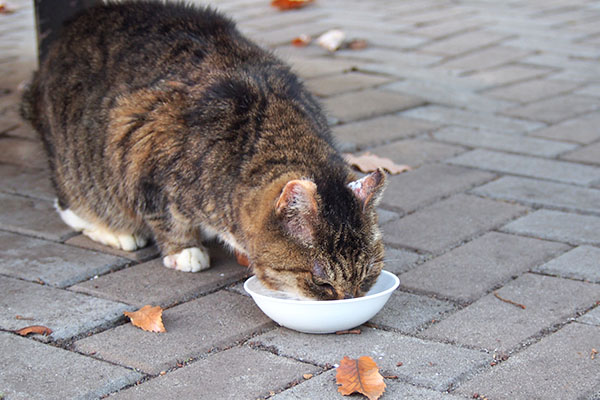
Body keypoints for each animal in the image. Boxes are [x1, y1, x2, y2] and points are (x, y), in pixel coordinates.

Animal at [22, 0, 384, 300]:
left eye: (366, 275)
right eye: (322, 283)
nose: (350, 300)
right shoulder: (146, 152)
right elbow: (165, 216)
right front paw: (183, 250)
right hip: (83, 166)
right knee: (71, 204)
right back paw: (115, 231)